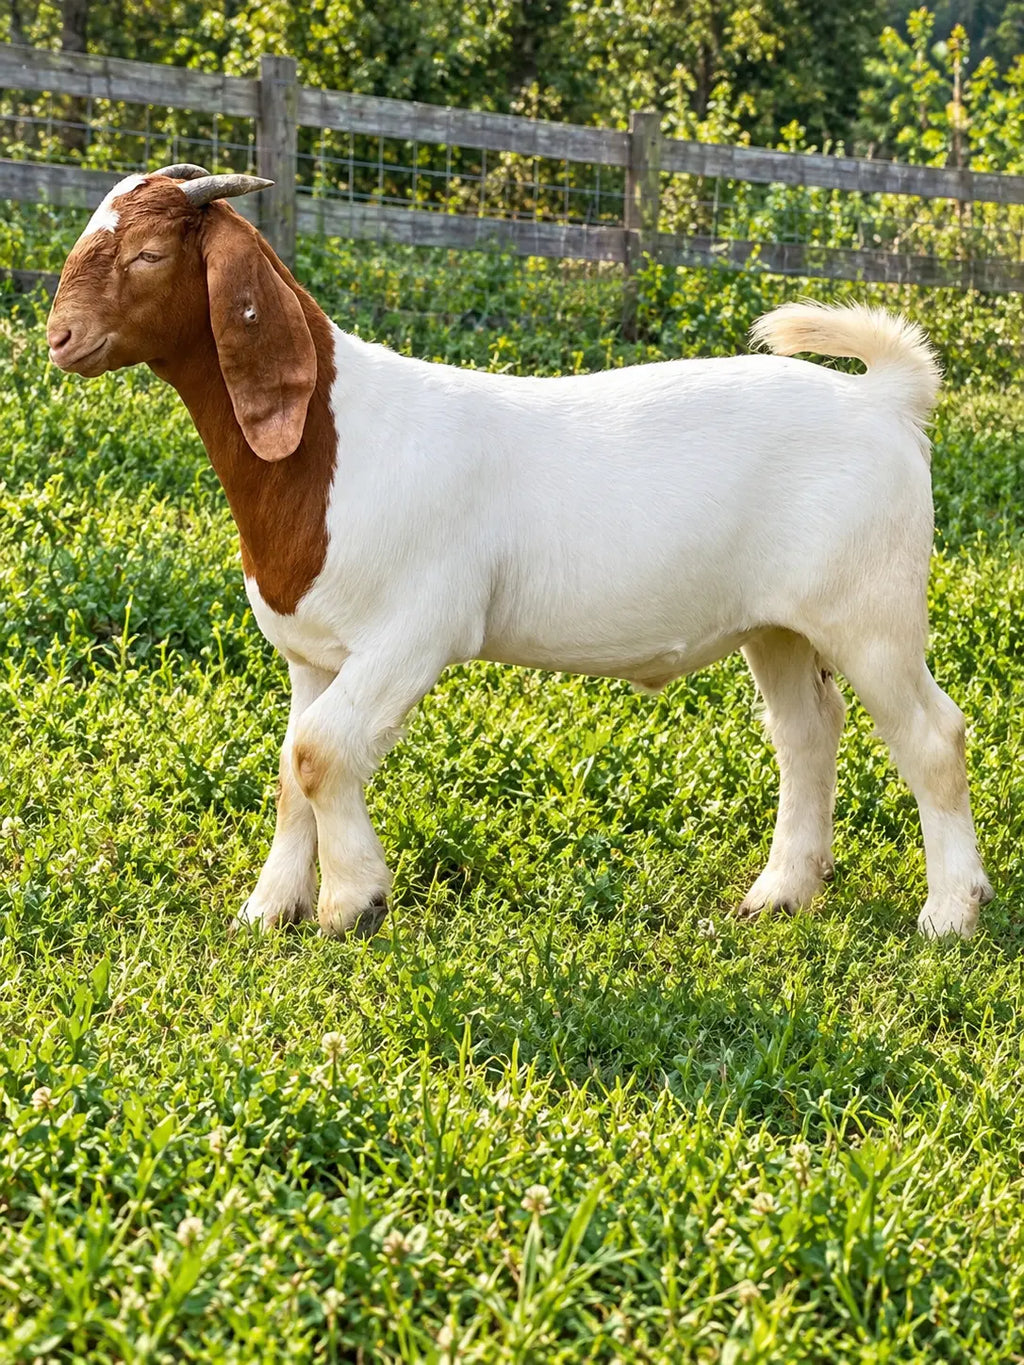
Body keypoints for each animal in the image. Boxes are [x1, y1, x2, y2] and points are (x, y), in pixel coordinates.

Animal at [46, 166, 992, 939]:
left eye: (148, 254)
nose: (59, 337)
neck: (330, 447)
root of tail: (886, 401)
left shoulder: (416, 631)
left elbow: (320, 752)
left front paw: (355, 901)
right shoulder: (312, 652)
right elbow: (292, 764)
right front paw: (271, 906)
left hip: (870, 610)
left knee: (931, 735)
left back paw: (950, 911)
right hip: (779, 624)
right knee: (807, 731)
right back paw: (781, 893)